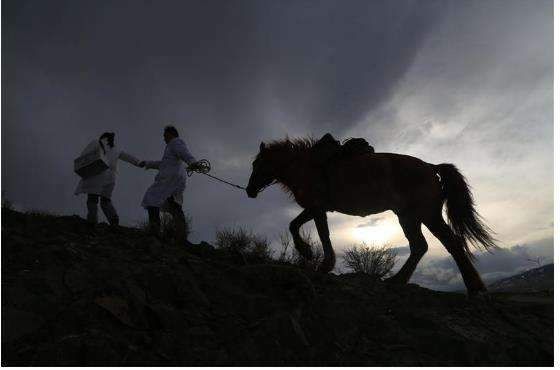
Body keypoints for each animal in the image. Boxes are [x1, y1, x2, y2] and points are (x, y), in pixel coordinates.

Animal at [246, 136, 498, 294]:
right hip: (410, 216)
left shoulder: (317, 209)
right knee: (422, 246)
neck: (307, 167)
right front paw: (309, 254)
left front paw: (320, 261)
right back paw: (399, 280)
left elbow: (319, 233)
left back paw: (473, 287)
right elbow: (295, 225)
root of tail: (430, 166)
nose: (249, 190)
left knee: (448, 243)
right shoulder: (315, 209)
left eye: (257, 164)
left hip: (426, 214)